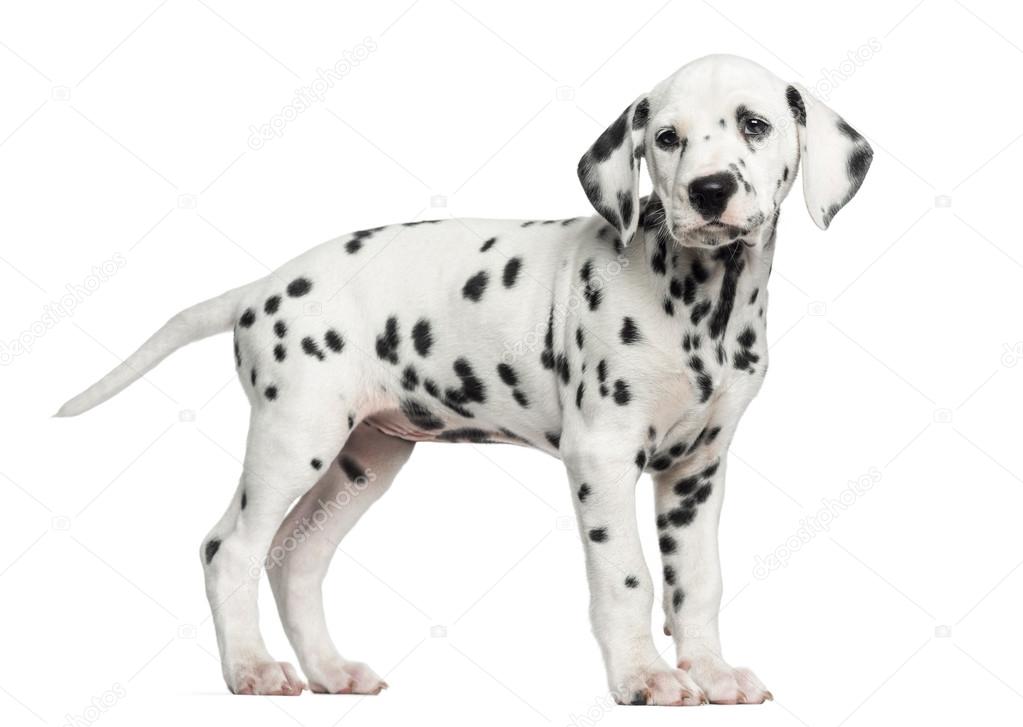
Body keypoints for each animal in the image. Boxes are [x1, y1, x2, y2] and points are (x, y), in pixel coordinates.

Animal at [56, 55, 871, 703]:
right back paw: (251, 669)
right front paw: (643, 677)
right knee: (230, 547)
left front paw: (712, 672)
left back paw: (329, 670)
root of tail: (264, 285)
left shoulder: (697, 469)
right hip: (295, 438)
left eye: (755, 125)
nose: (707, 191)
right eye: (665, 138)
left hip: (362, 461)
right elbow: (628, 577)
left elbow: (696, 581)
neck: (705, 299)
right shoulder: (602, 457)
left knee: (297, 557)